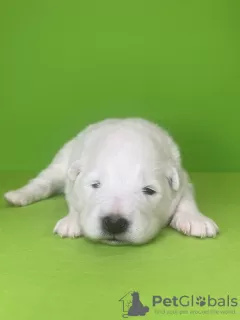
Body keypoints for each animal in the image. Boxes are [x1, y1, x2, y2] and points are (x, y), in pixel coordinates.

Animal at [3, 118, 218, 245]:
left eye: (149, 191)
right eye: (95, 185)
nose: (114, 223)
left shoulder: (182, 178)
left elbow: (187, 199)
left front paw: (196, 220)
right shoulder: (73, 179)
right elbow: (73, 200)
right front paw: (72, 221)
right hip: (61, 161)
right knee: (43, 182)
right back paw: (18, 196)